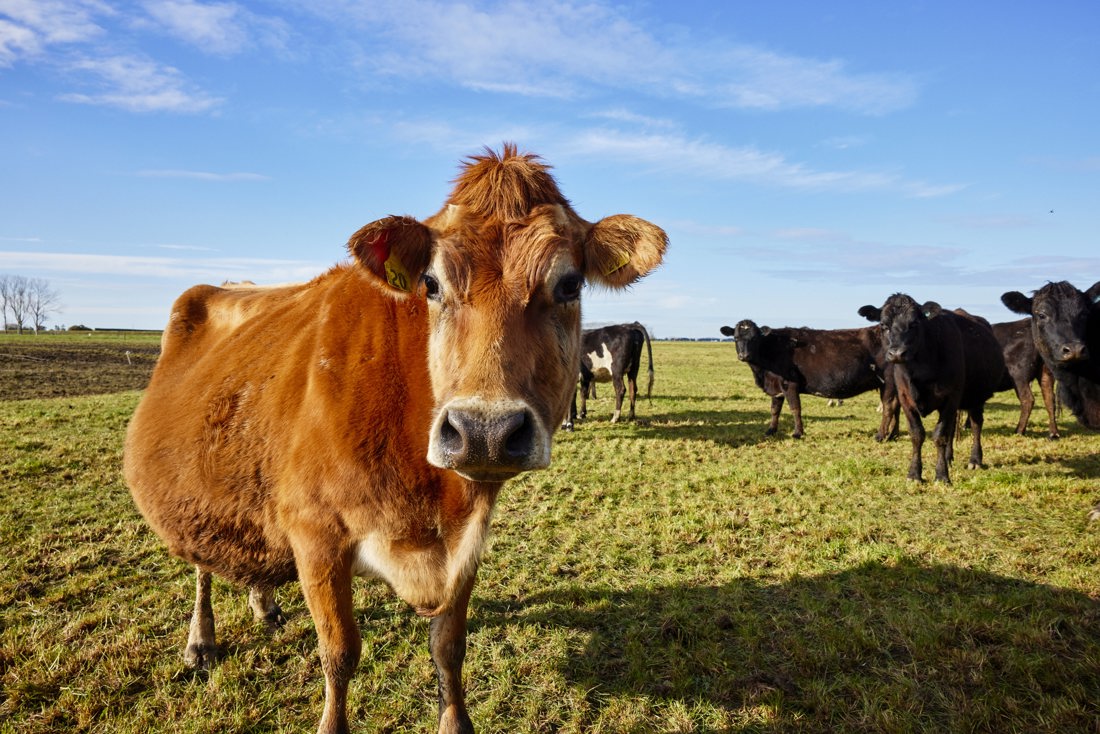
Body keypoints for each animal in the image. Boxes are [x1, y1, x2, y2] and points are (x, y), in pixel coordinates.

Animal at [123, 145, 667, 734]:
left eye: (569, 285)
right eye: (431, 284)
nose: (485, 431)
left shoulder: (465, 545)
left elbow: (449, 647)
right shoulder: (316, 539)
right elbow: (339, 654)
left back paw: (263, 602)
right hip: (194, 489)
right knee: (202, 562)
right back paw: (200, 641)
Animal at [718, 320, 893, 439]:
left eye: (754, 339)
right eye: (735, 338)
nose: (744, 355)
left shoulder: (790, 384)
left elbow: (795, 408)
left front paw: (798, 433)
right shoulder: (776, 388)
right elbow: (775, 410)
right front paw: (771, 430)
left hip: (888, 383)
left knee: (888, 408)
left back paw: (881, 435)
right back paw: (893, 434)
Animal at [858, 295, 1006, 483]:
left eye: (914, 323)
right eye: (884, 325)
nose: (897, 353)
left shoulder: (951, 398)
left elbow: (940, 436)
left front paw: (942, 475)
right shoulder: (906, 399)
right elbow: (917, 435)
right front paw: (914, 474)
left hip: (976, 397)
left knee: (976, 425)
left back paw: (975, 460)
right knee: (953, 428)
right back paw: (949, 457)